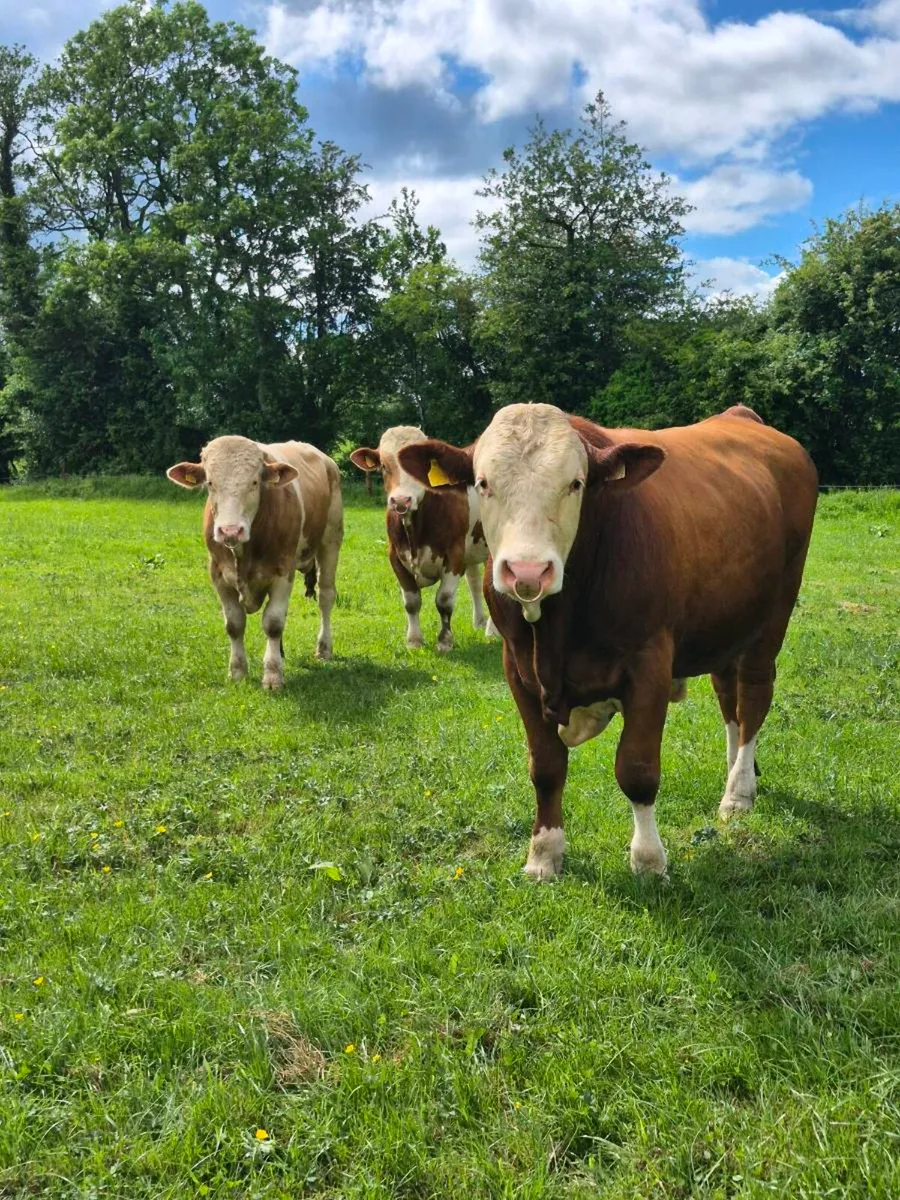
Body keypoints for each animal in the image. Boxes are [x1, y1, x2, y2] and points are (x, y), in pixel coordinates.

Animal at [167, 436, 343, 689]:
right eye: (210, 483)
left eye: (254, 482)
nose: (230, 530)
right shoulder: (218, 574)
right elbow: (234, 624)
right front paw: (238, 671)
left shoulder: (283, 571)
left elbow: (273, 623)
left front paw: (272, 675)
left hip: (331, 538)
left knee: (326, 596)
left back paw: (324, 648)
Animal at [350, 426, 496, 651]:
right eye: (383, 465)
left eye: (421, 466)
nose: (402, 500)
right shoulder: (395, 556)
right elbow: (411, 601)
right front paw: (414, 641)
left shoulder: (454, 556)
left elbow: (444, 600)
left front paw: (445, 641)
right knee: (474, 580)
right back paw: (479, 622)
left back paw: (492, 630)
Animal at [398, 403, 818, 879]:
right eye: (483, 483)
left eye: (575, 483)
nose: (527, 571)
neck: (555, 631)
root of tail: (742, 416)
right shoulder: (516, 667)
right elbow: (546, 766)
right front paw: (544, 854)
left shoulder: (649, 664)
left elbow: (636, 769)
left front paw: (649, 859)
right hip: (726, 621)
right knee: (730, 700)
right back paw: (738, 772)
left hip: (775, 612)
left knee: (753, 697)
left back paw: (738, 792)